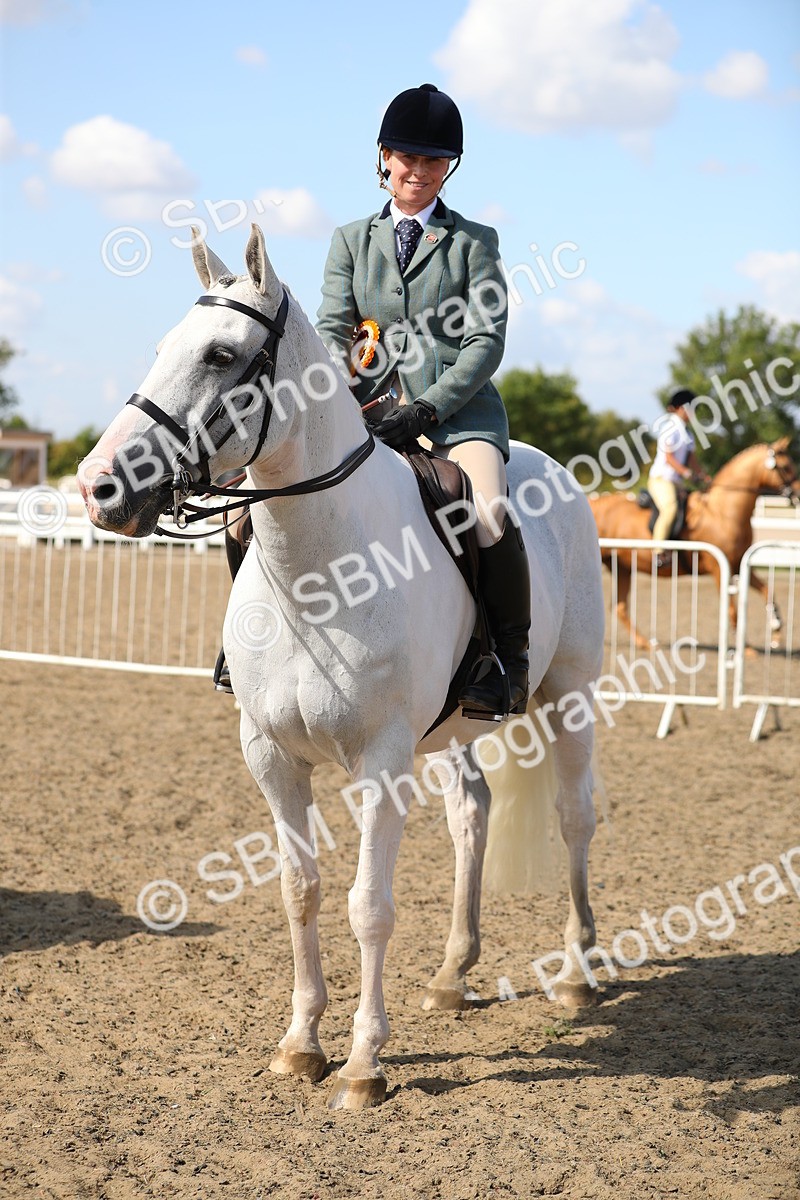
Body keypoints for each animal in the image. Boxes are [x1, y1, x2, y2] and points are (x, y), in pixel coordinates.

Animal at [78, 224, 606, 1111]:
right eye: (162, 348)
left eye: (221, 355)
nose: (100, 488)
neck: (319, 568)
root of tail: (550, 464)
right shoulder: (270, 756)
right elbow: (301, 891)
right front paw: (300, 1045)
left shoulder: (381, 761)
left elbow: (368, 906)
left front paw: (364, 1065)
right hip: (454, 731)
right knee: (471, 813)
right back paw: (452, 975)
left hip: (570, 698)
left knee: (574, 817)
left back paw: (575, 974)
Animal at [589, 440, 800, 650]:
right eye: (785, 466)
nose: (798, 494)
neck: (722, 512)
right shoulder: (718, 568)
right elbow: (732, 610)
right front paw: (747, 649)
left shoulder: (738, 564)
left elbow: (767, 591)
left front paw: (776, 629)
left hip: (622, 567)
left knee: (619, 606)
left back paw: (645, 643)